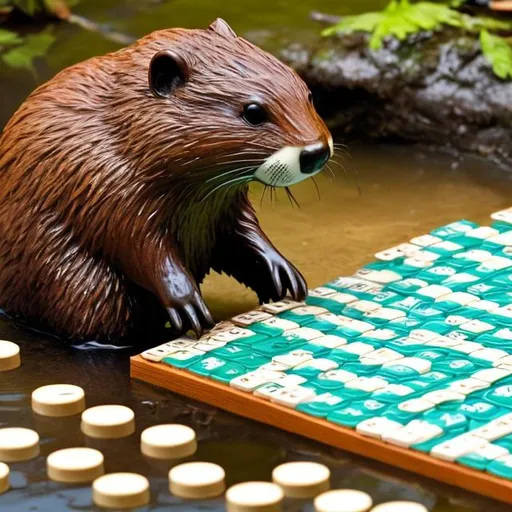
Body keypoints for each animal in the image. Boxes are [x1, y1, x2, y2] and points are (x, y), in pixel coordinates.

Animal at [0, 18, 332, 344]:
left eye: (308, 94)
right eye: (253, 111)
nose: (316, 152)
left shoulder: (225, 206)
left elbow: (245, 236)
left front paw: (285, 274)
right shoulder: (105, 183)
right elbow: (142, 249)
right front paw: (189, 306)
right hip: (81, 284)